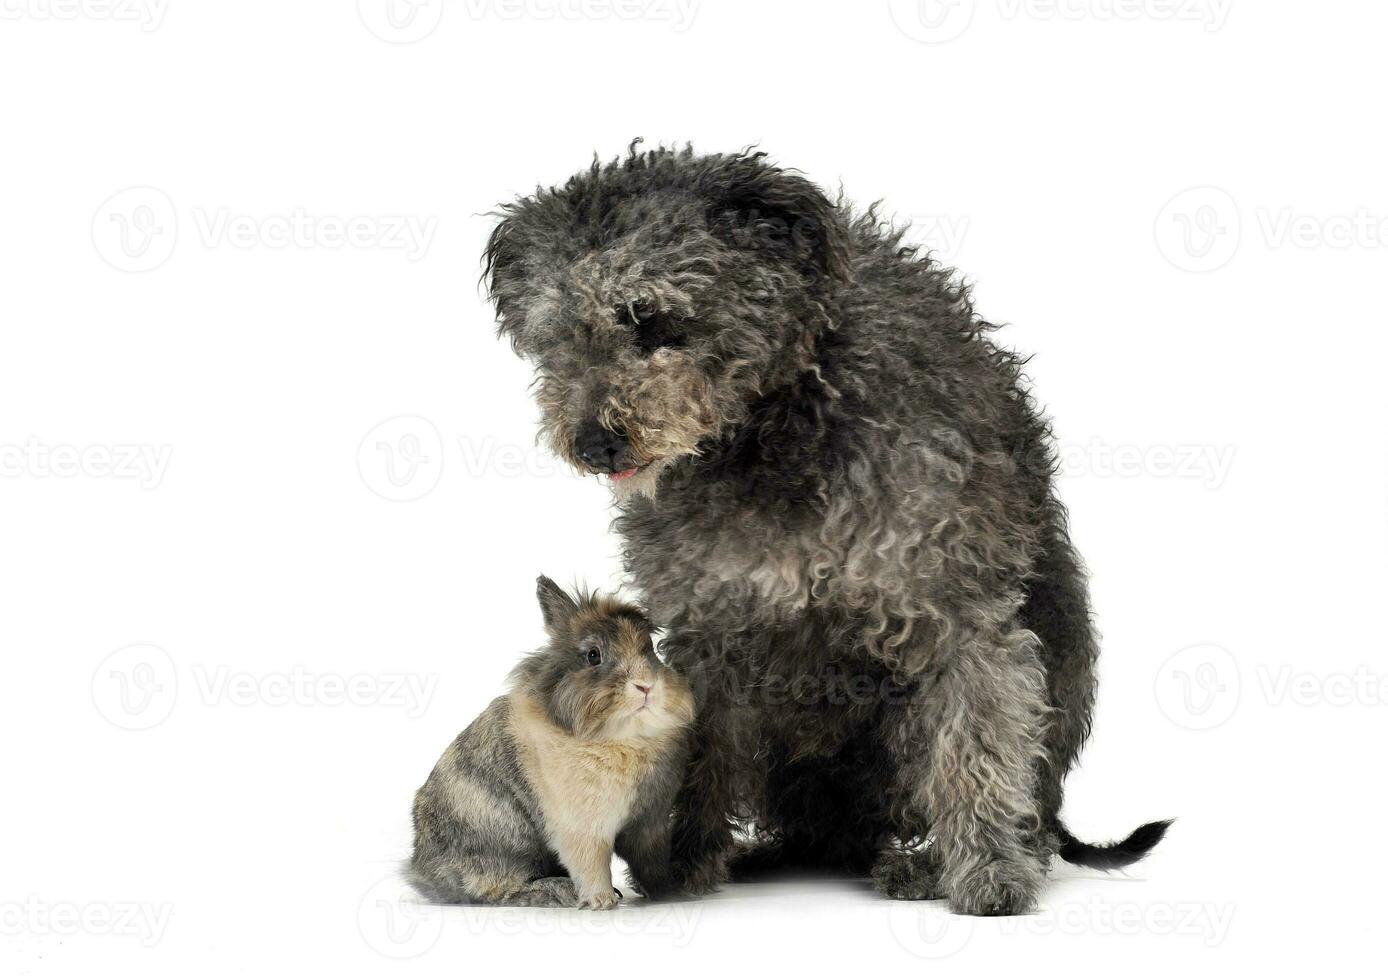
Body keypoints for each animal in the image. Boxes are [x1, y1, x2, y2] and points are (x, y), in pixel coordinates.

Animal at [408, 571, 694, 910]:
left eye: (650, 650)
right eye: (593, 655)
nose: (646, 686)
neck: (624, 738)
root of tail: (420, 870)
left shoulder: (650, 825)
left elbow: (651, 863)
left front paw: (670, 892)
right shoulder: (582, 828)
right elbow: (591, 865)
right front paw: (601, 901)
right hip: (507, 846)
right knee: (499, 889)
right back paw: (559, 890)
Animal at [483, 141, 1165, 910]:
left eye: (652, 320)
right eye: (558, 338)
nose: (595, 443)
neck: (776, 429)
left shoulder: (958, 612)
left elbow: (975, 740)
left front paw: (988, 867)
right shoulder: (710, 629)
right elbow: (698, 751)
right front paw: (681, 859)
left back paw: (940, 860)